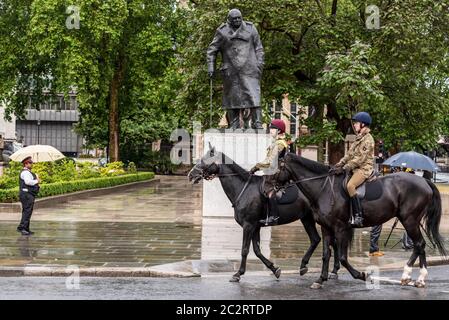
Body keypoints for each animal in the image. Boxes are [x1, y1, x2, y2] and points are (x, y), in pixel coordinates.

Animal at [187, 146, 338, 282]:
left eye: (204, 160)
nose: (190, 175)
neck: (244, 188)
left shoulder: (248, 225)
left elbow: (245, 250)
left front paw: (238, 274)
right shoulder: (255, 226)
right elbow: (257, 251)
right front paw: (274, 269)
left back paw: (328, 270)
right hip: (307, 218)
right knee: (317, 240)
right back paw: (313, 267)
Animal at [284, 152, 444, 288]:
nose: (275, 190)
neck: (325, 189)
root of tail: (424, 181)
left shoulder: (340, 228)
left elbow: (342, 257)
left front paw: (362, 275)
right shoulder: (326, 227)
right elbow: (326, 254)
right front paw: (320, 279)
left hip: (409, 220)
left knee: (419, 244)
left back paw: (408, 275)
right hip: (411, 221)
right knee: (420, 245)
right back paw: (419, 279)